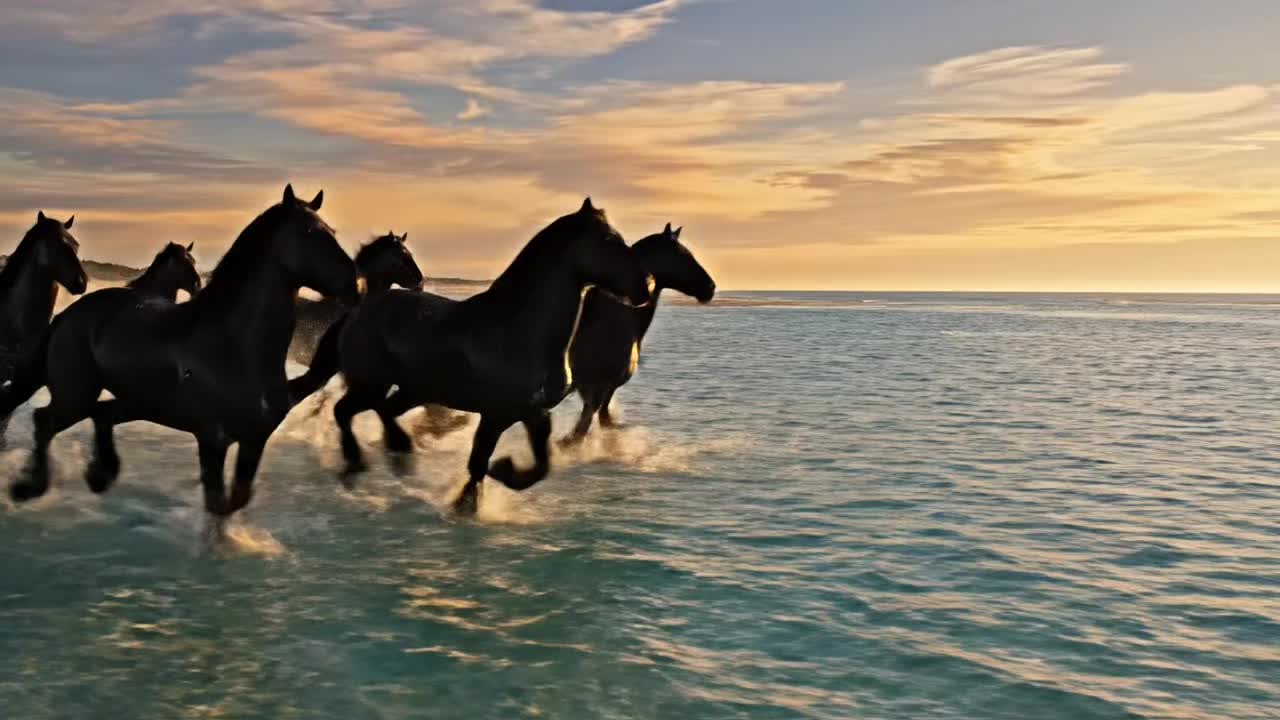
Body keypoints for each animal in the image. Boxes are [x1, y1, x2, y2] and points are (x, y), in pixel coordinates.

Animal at [560, 223, 715, 445]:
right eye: (683, 256)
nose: (710, 287)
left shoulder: (607, 389)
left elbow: (604, 423)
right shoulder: (595, 389)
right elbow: (578, 434)